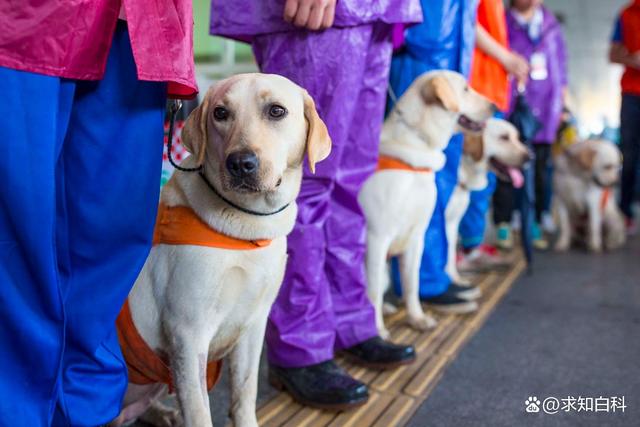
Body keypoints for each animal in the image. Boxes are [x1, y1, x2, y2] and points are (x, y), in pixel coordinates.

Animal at [108, 73, 332, 427]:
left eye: (277, 111)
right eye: (221, 113)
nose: (240, 163)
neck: (247, 229)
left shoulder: (253, 325)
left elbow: (244, 394)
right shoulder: (188, 335)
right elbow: (200, 413)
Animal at [360, 71, 496, 342]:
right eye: (465, 89)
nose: (495, 106)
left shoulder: (417, 236)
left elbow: (412, 284)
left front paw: (417, 318)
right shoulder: (377, 237)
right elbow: (372, 292)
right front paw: (377, 330)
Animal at [444, 118, 528, 288]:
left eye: (517, 137)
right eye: (504, 137)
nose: (530, 157)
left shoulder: (452, 221)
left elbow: (448, 257)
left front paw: (453, 280)